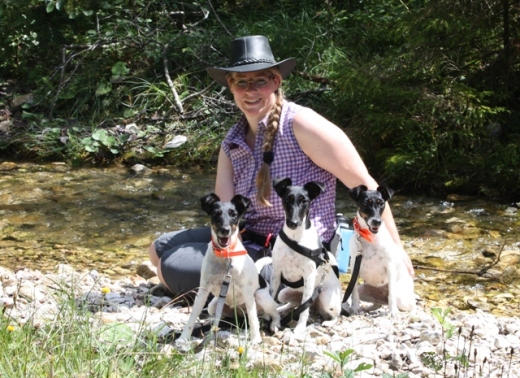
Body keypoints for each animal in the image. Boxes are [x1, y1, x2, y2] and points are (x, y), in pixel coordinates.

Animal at [176, 193, 282, 346]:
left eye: (234, 214)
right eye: (216, 214)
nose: (225, 230)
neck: (225, 255)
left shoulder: (247, 291)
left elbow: (253, 318)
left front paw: (255, 338)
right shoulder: (203, 290)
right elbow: (192, 315)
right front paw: (183, 338)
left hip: (260, 297)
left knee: (273, 311)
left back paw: (274, 323)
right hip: (213, 305)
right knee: (219, 317)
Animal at [270, 177, 344, 334]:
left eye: (305, 201)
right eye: (287, 199)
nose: (293, 223)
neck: (295, 238)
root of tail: (316, 305)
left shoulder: (309, 275)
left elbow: (304, 310)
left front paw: (300, 328)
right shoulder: (276, 272)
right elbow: (271, 298)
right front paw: (272, 320)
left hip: (327, 298)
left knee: (334, 313)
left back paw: (329, 322)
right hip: (284, 293)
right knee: (293, 305)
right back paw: (281, 309)